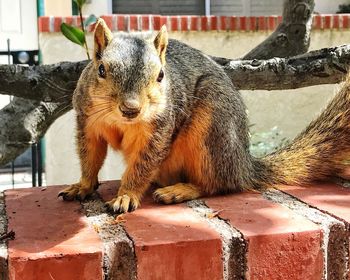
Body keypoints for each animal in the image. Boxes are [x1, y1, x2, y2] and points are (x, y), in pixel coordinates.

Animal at [58, 18, 350, 213]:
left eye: (161, 75)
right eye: (101, 69)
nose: (131, 108)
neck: (122, 121)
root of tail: (243, 165)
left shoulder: (159, 130)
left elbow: (142, 165)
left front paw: (126, 195)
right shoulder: (87, 122)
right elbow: (90, 157)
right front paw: (83, 186)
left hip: (212, 131)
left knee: (218, 184)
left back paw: (179, 190)